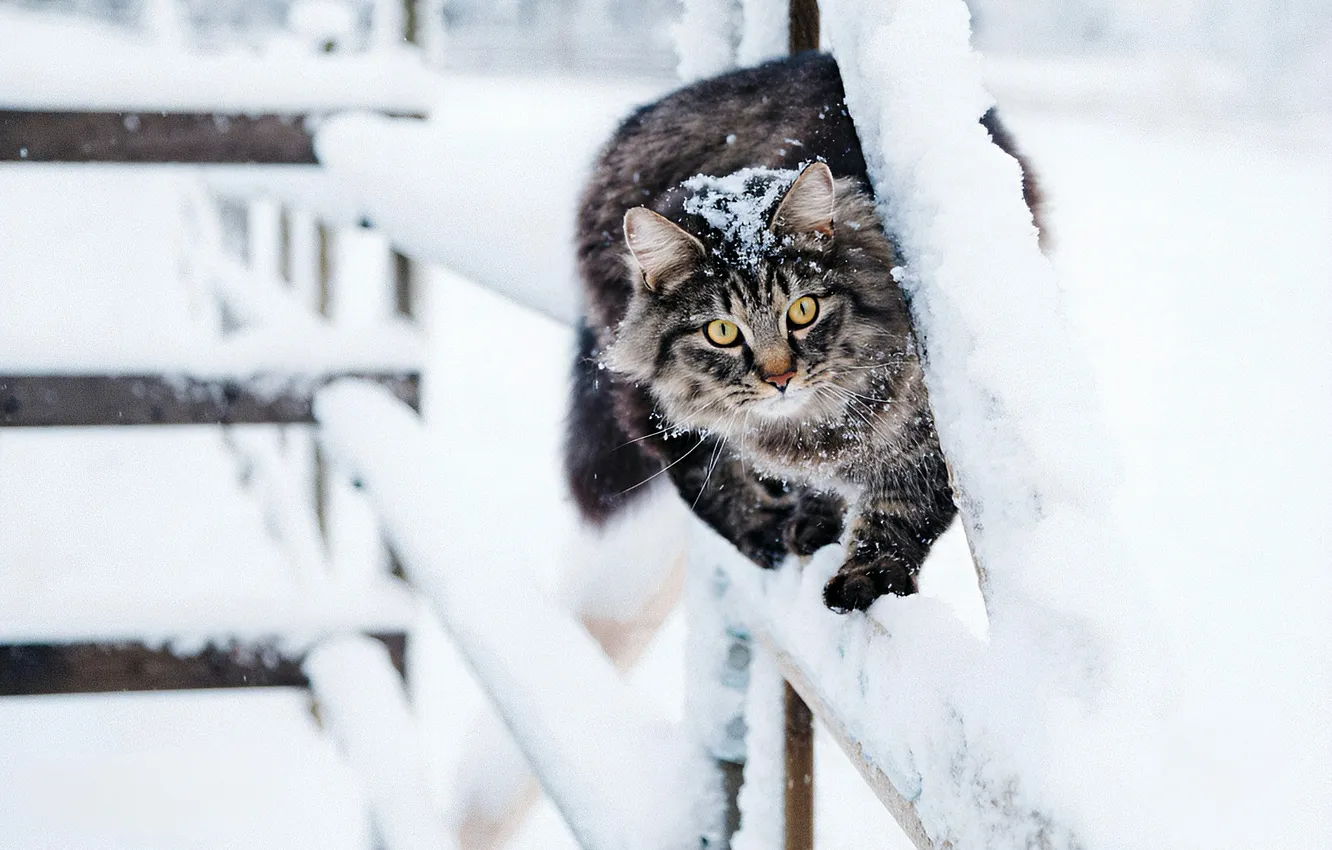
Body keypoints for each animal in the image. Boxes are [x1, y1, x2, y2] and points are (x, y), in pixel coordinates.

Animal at [564, 51, 1038, 612]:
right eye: (721, 331)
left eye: (803, 310)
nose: (780, 378)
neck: (814, 427)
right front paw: (802, 528)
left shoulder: (938, 428)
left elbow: (902, 510)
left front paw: (869, 573)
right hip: (648, 392)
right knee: (696, 468)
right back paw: (766, 530)